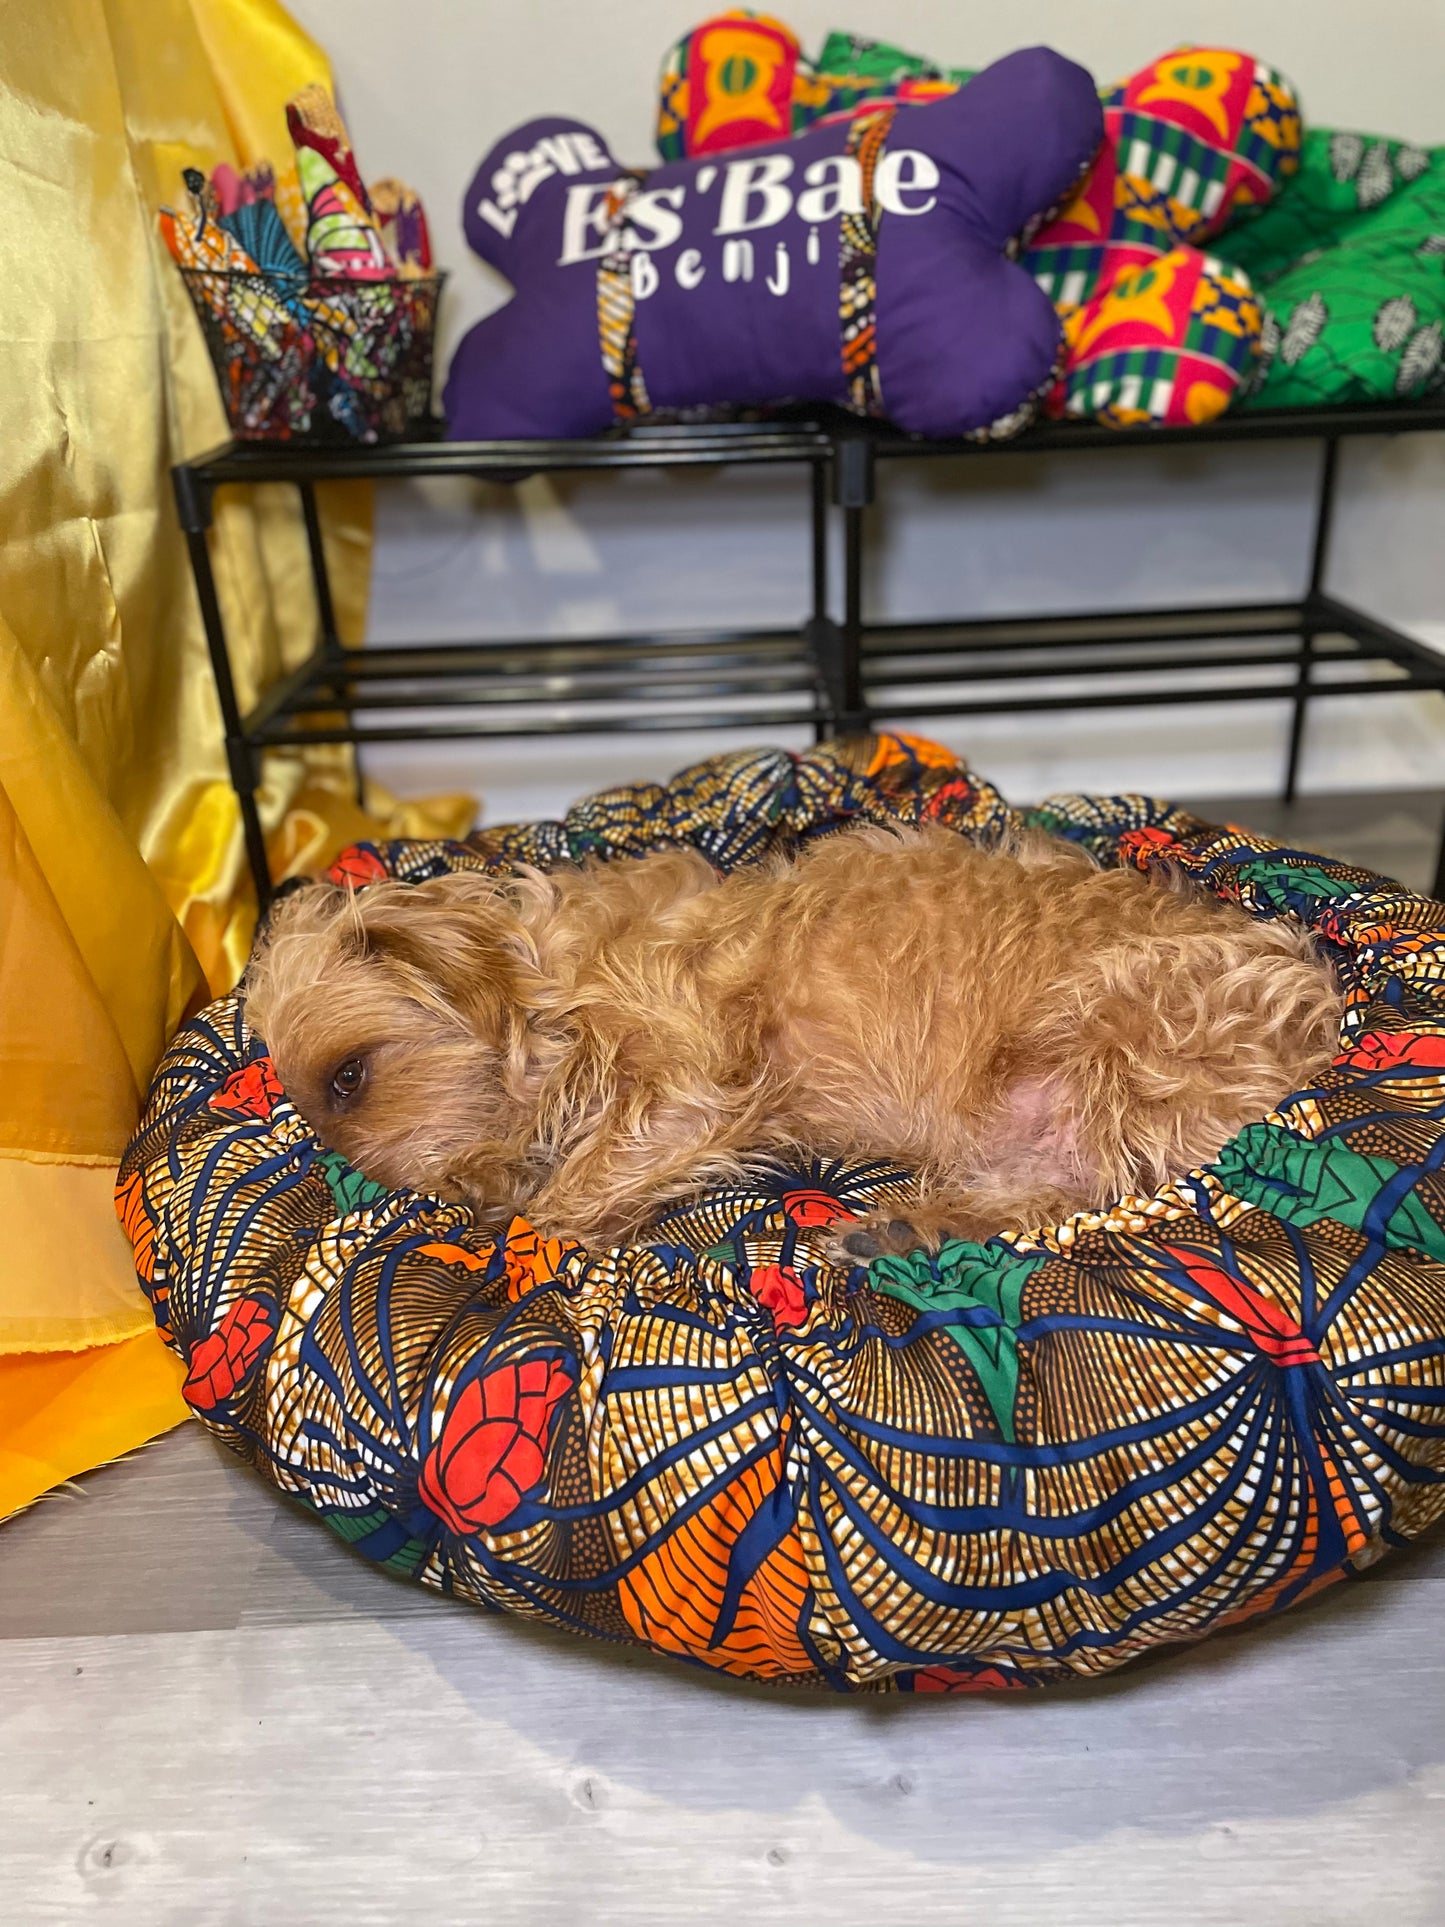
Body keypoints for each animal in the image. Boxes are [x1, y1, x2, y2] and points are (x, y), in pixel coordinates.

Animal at [246, 824, 1348, 1256]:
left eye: (349, 1077)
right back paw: (904, 1229)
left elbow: (568, 1200)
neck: (547, 977)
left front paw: (538, 1223)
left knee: (1097, 1179)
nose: (431, 1202)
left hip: (1110, 1021)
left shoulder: (682, 1080)